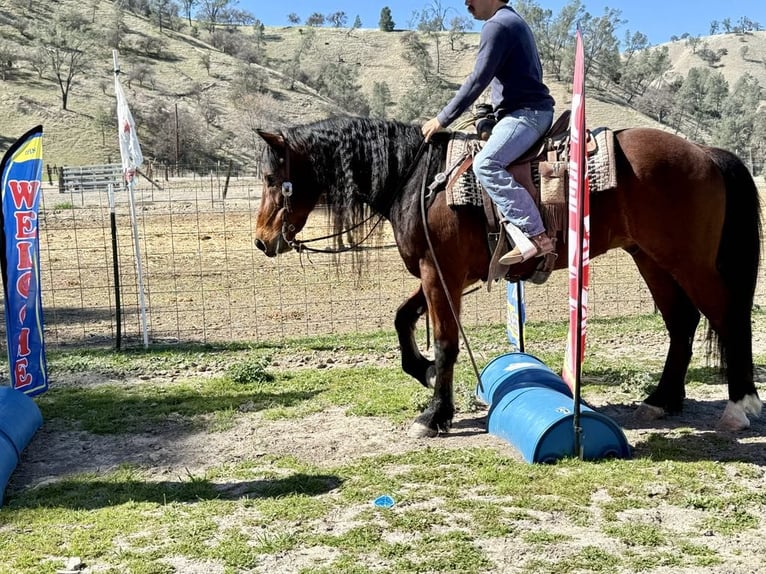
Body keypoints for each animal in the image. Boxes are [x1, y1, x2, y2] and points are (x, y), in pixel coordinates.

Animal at [253, 115, 762, 437]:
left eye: (273, 179)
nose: (261, 240)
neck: (418, 180)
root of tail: (705, 152)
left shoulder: (441, 272)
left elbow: (446, 340)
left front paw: (434, 414)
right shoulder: (441, 273)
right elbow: (403, 318)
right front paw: (424, 372)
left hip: (689, 261)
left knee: (728, 317)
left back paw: (739, 405)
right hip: (651, 258)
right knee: (682, 322)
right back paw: (663, 398)